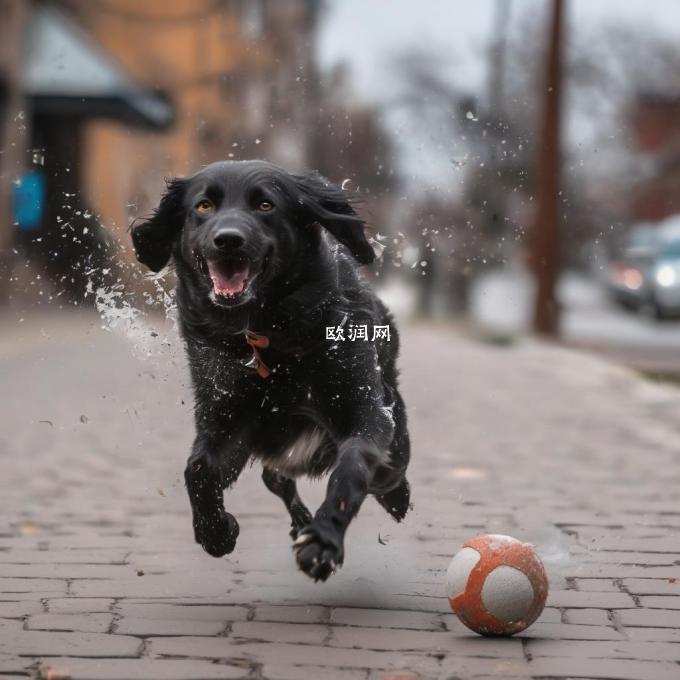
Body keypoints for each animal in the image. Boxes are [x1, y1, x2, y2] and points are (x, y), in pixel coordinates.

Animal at [132, 159, 410, 580]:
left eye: (265, 205)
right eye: (203, 206)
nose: (227, 240)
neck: (268, 337)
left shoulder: (364, 413)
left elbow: (351, 470)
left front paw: (323, 541)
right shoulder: (227, 417)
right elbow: (197, 468)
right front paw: (216, 531)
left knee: (386, 472)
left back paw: (396, 498)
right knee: (274, 476)